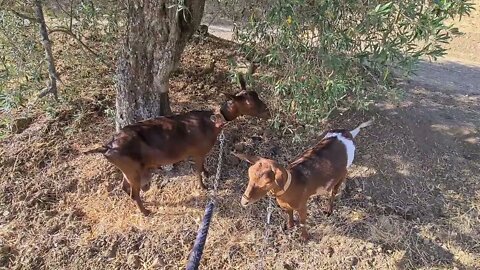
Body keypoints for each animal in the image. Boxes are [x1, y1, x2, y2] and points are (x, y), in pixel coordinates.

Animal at [84, 76, 268, 215]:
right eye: (249, 102)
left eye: (257, 94)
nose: (267, 110)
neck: (213, 121)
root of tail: (108, 147)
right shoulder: (197, 152)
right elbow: (197, 171)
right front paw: (203, 186)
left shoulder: (201, 153)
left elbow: (203, 167)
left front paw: (208, 173)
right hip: (133, 170)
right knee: (134, 191)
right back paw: (145, 212)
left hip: (128, 169)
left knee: (124, 186)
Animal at [234, 120, 374, 240]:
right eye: (249, 175)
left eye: (267, 182)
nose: (244, 201)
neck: (292, 186)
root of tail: (348, 134)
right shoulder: (286, 205)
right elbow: (289, 214)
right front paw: (289, 226)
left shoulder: (302, 206)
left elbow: (302, 221)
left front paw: (305, 237)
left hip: (344, 171)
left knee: (334, 190)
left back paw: (329, 210)